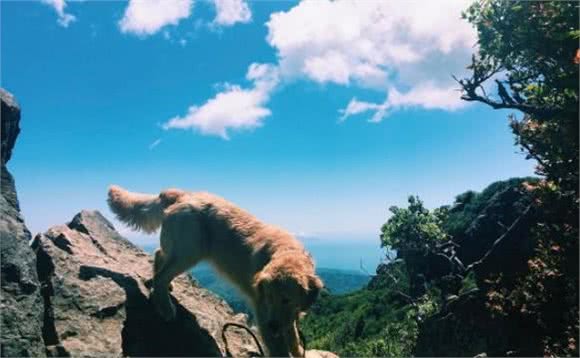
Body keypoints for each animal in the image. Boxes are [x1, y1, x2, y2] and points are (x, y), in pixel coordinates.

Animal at [107, 186, 324, 356]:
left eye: (286, 299)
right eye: (269, 298)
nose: (273, 325)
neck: (284, 251)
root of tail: (183, 194)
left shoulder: (288, 315)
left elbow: (293, 337)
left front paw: (298, 350)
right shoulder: (263, 313)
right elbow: (280, 349)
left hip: (182, 250)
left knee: (159, 255)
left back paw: (159, 287)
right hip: (190, 251)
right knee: (162, 274)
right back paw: (166, 307)